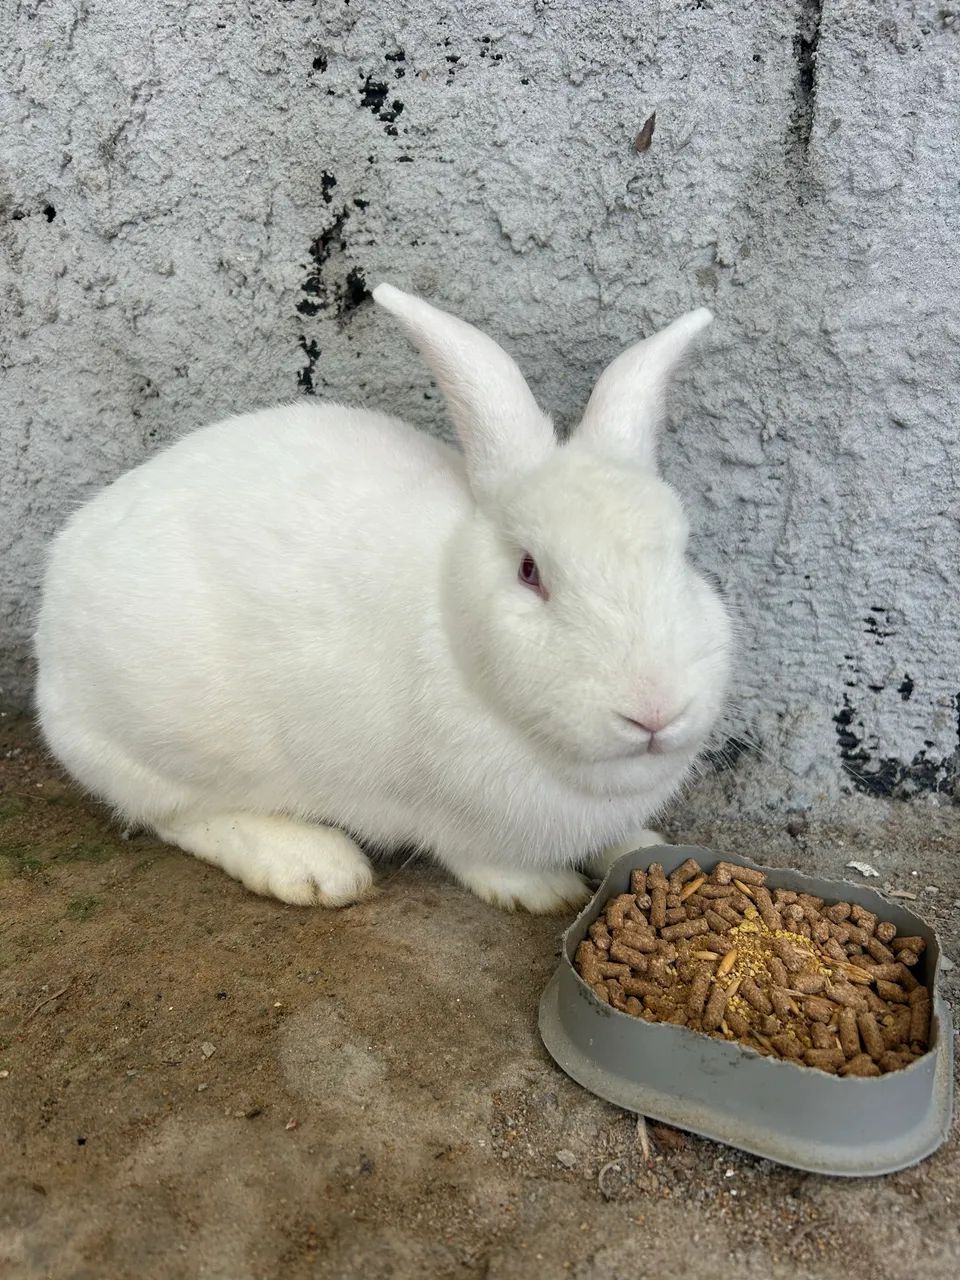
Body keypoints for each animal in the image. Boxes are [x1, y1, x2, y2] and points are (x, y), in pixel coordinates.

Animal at [34, 282, 733, 913]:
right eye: (530, 571)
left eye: (682, 554)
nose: (654, 712)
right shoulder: (458, 816)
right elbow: (488, 861)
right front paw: (545, 892)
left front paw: (640, 846)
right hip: (170, 741)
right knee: (174, 813)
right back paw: (314, 867)